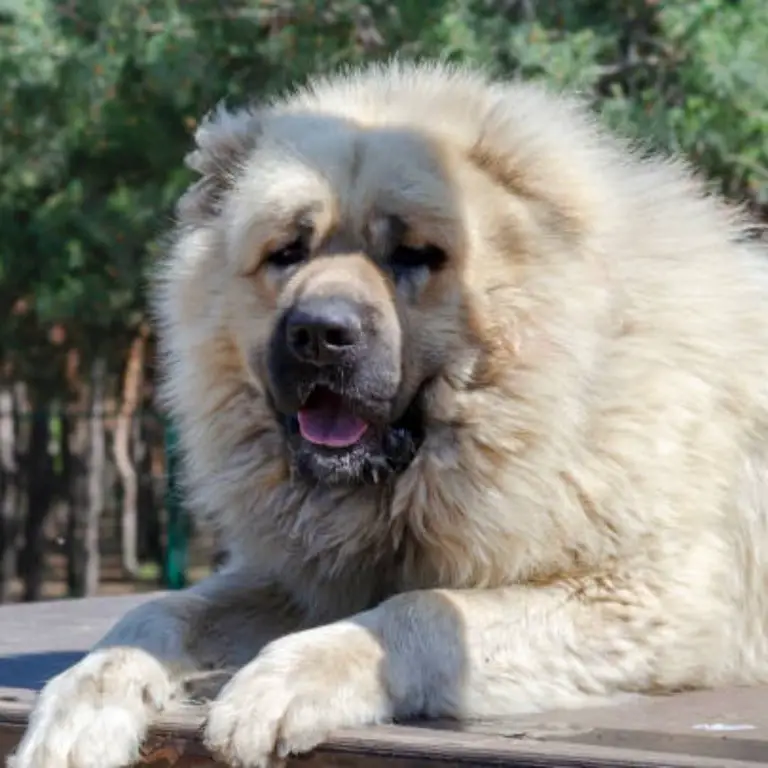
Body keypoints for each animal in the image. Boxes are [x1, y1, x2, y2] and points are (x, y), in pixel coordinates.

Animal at [10, 63, 768, 768]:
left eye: (414, 255)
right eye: (287, 251)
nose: (319, 333)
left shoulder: (649, 599)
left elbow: (423, 609)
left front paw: (277, 684)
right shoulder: (302, 578)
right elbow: (159, 612)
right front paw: (77, 711)